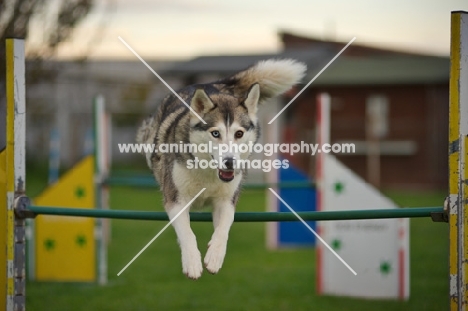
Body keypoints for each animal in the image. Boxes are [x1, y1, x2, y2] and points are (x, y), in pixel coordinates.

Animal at [134, 59, 308, 280]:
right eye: (215, 133)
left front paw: (214, 257)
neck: (208, 173)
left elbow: (224, 229)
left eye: (239, 133)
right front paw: (192, 262)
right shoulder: (176, 199)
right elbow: (187, 233)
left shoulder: (226, 201)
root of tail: (212, 84)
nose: (230, 162)